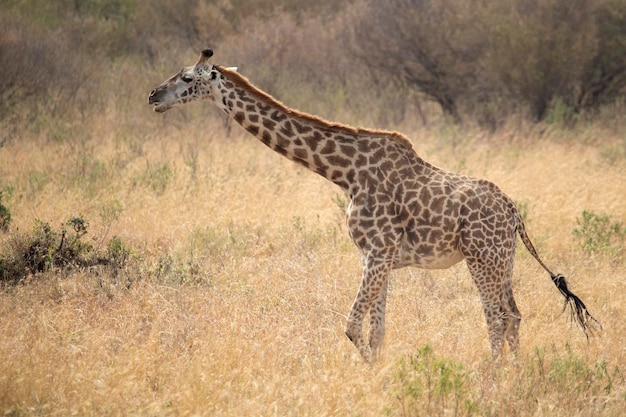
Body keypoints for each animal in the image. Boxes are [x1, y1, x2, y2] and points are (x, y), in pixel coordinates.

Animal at [147, 48, 600, 360]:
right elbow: (377, 330)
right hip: (503, 260)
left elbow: (351, 327)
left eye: (186, 77)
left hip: (481, 258)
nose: (153, 95)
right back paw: (516, 372)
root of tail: (515, 214)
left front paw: (370, 372)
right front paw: (378, 374)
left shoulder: (378, 253)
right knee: (515, 315)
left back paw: (493, 378)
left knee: (496, 317)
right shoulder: (376, 257)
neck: (345, 173)